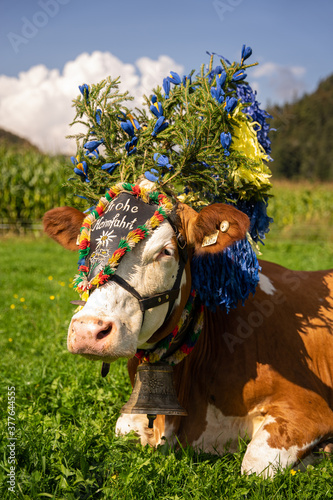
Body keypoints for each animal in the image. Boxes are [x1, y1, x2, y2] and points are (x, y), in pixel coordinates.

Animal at [43, 194, 332, 476]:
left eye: (165, 251)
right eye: (87, 249)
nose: (88, 330)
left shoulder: (310, 407)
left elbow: (254, 465)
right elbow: (124, 429)